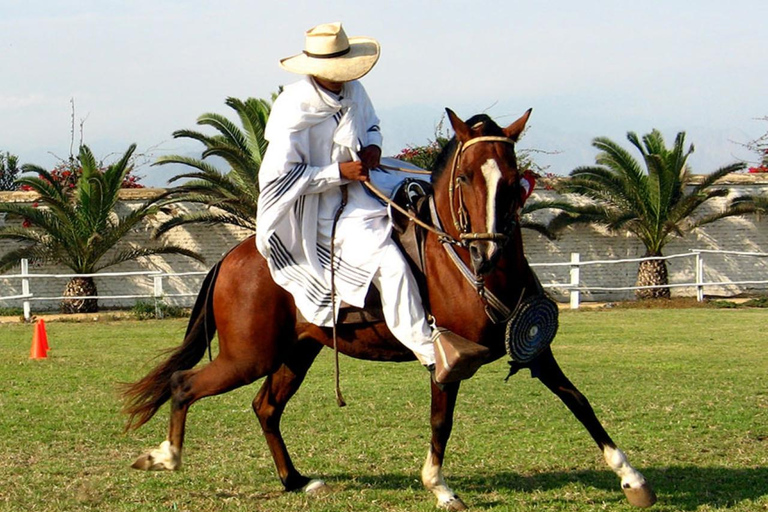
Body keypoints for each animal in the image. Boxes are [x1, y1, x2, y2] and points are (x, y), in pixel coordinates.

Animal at [123, 110, 656, 510]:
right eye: (465, 177)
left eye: (511, 180)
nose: (485, 252)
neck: (466, 268)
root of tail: (235, 256)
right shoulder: (447, 361)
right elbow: (441, 421)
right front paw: (440, 487)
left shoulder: (533, 348)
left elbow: (578, 400)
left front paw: (631, 478)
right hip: (248, 356)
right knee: (184, 385)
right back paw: (165, 457)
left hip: (295, 353)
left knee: (265, 407)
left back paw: (296, 480)